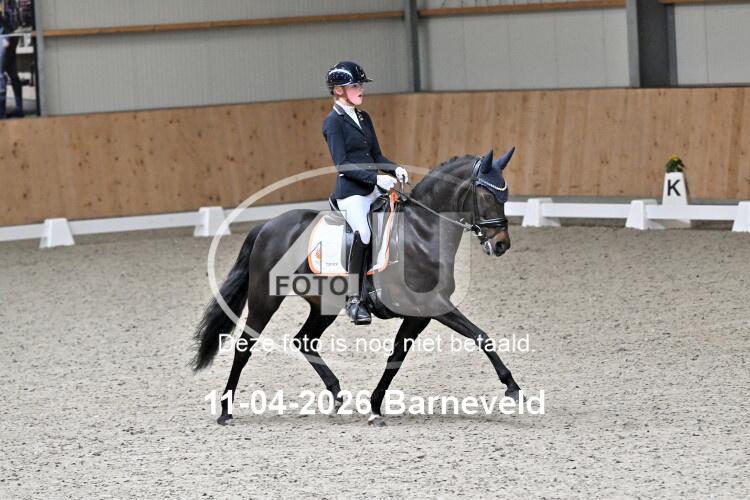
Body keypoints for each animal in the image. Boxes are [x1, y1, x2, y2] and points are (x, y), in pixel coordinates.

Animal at [192, 149, 522, 426]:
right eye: (487, 195)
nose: (501, 245)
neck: (422, 232)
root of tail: (267, 227)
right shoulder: (432, 305)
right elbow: (481, 336)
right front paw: (512, 387)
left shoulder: (419, 315)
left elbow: (396, 357)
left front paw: (374, 407)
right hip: (265, 299)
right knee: (245, 347)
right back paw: (225, 411)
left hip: (325, 305)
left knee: (305, 340)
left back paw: (337, 395)